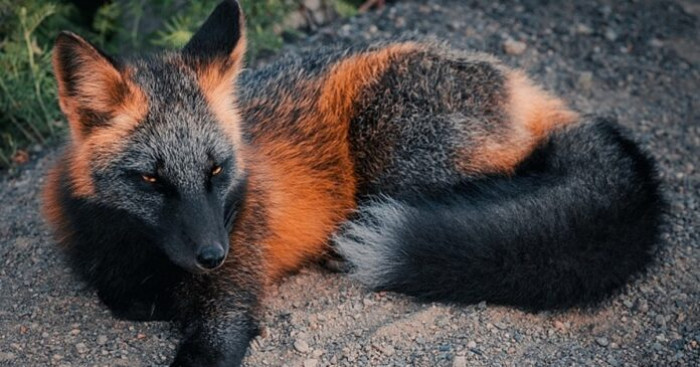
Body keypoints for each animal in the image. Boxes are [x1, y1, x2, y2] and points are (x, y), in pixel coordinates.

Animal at [41, 1, 664, 366]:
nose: (213, 254)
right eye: (151, 179)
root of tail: (520, 83)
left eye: (216, 171)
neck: (141, 254)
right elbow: (122, 298)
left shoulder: (233, 296)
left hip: (396, 156)